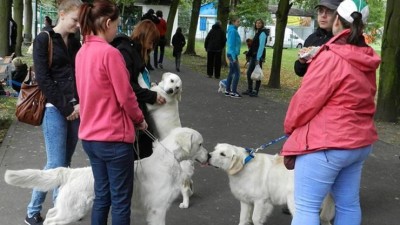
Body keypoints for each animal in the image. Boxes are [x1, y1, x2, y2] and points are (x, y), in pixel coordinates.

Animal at [4, 127, 208, 225]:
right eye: (200, 144)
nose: (209, 156)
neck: (168, 160)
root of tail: (71, 172)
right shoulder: (157, 209)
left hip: (68, 207)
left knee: (52, 213)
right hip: (73, 210)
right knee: (52, 220)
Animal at [206, 143, 334, 225]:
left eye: (222, 154)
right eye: (215, 149)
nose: (208, 155)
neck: (244, 166)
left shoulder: (260, 200)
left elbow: (255, 218)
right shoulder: (245, 201)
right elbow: (243, 219)